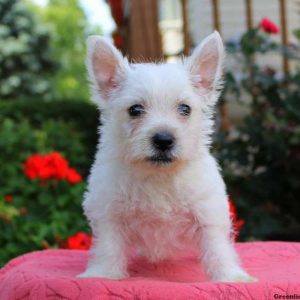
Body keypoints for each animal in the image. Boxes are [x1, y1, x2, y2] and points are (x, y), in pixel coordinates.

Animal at [79, 31, 255, 282]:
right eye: (135, 109)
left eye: (185, 109)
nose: (163, 139)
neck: (159, 176)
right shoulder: (109, 213)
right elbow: (108, 247)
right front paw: (102, 274)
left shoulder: (207, 213)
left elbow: (217, 247)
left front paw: (231, 276)